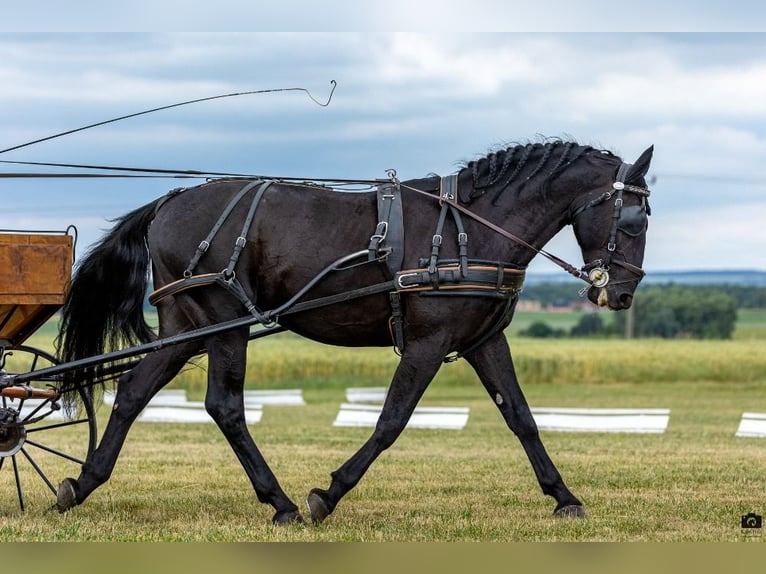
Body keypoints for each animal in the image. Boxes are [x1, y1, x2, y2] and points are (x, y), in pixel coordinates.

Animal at [55, 140, 656, 528]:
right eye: (635, 221)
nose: (623, 295)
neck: (473, 227)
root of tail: (169, 201)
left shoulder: (483, 340)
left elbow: (522, 419)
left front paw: (564, 496)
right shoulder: (428, 343)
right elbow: (391, 420)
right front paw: (328, 493)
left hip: (188, 326)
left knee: (133, 392)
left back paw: (81, 484)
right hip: (226, 322)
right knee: (224, 405)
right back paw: (282, 503)